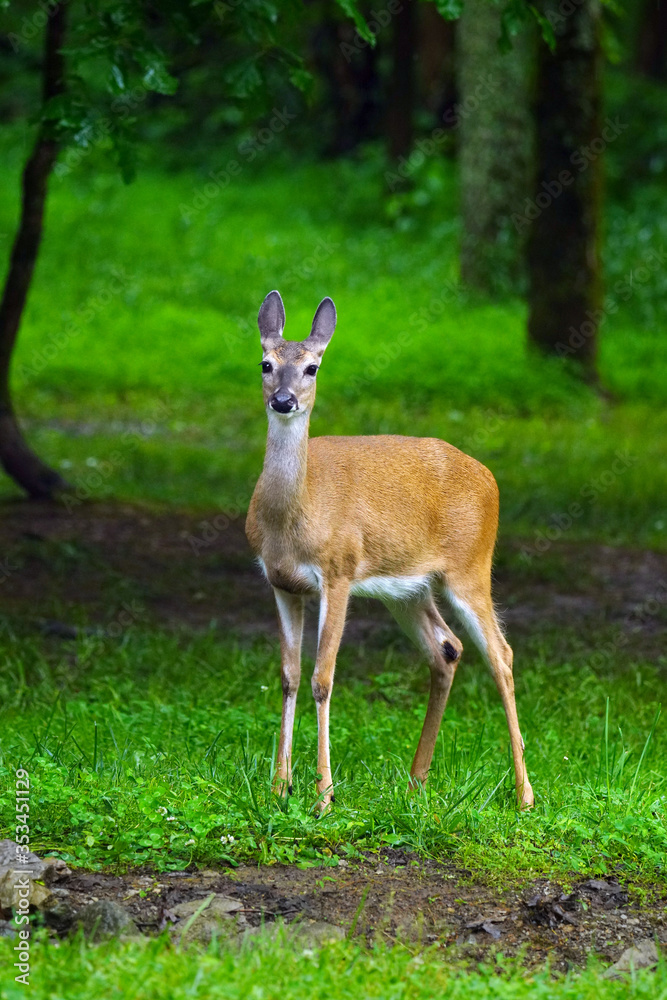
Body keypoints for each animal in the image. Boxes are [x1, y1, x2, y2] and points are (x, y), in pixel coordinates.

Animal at [245, 290, 534, 813]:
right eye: (266, 364)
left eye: (313, 367)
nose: (284, 400)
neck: (294, 517)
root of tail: (490, 478)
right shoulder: (281, 583)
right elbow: (289, 675)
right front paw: (279, 787)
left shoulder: (338, 572)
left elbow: (322, 678)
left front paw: (323, 796)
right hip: (409, 590)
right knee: (447, 648)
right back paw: (416, 781)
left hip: (471, 567)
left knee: (501, 654)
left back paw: (524, 795)